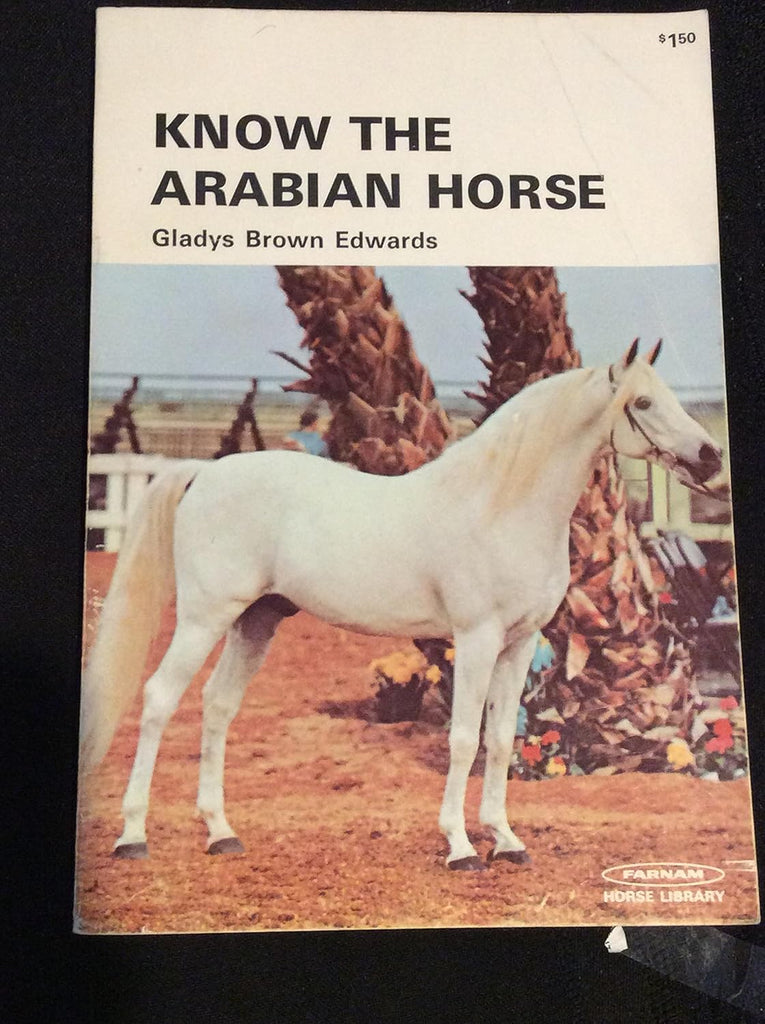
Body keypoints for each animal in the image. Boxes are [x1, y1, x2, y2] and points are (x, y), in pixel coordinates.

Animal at [80, 339, 723, 870]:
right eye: (644, 402)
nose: (710, 457)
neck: (500, 503)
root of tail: (203, 475)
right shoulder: (477, 638)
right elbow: (463, 738)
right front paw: (461, 847)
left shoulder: (519, 644)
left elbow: (499, 741)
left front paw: (506, 841)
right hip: (204, 618)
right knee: (160, 699)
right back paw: (133, 836)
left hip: (255, 621)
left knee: (217, 706)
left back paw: (221, 833)